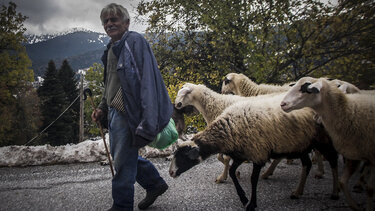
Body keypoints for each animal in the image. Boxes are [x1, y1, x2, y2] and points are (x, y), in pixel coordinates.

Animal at [170, 91, 340, 210]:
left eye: (183, 156)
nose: (171, 173)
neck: (229, 128)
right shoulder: (241, 153)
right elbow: (232, 172)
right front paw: (243, 198)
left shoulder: (258, 153)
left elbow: (252, 179)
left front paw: (252, 203)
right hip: (300, 144)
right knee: (307, 164)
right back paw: (297, 192)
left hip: (323, 140)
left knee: (333, 160)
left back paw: (335, 192)